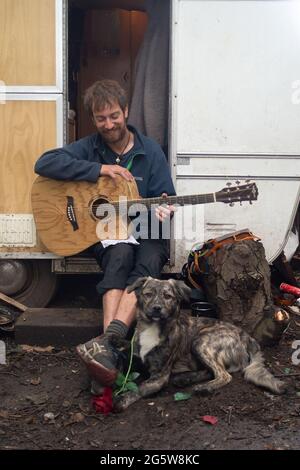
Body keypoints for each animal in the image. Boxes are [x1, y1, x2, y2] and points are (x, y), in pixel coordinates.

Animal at [112, 278, 284, 410]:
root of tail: (246, 336)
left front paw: (121, 399)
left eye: (168, 296)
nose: (157, 308)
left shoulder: (159, 376)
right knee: (211, 371)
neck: (152, 327)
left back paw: (204, 387)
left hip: (201, 341)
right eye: (148, 294)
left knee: (224, 374)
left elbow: (139, 388)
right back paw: (185, 379)